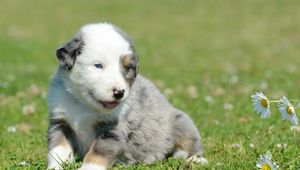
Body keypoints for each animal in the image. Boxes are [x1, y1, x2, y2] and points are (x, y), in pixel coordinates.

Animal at [47, 22, 203, 170]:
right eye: (98, 65)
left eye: (127, 67)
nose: (119, 92)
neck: (84, 105)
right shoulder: (61, 123)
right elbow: (58, 149)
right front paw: (56, 166)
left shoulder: (112, 130)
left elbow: (98, 152)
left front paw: (88, 168)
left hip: (182, 122)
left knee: (192, 145)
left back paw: (195, 160)